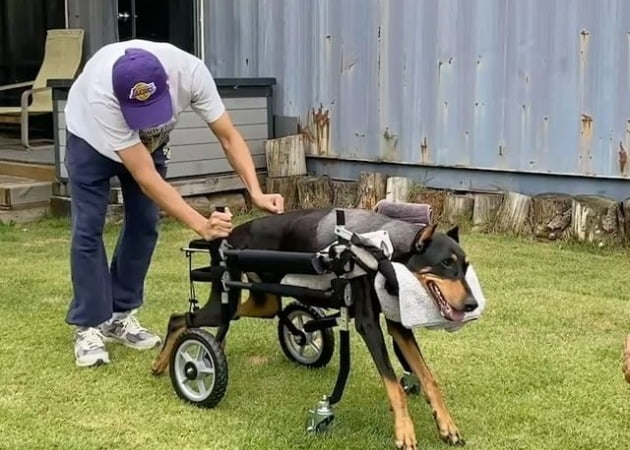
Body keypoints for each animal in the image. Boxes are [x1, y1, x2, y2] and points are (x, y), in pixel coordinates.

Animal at [152, 208, 478, 450]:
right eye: (445, 264)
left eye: (464, 265)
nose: (472, 304)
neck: (382, 251)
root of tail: (229, 234)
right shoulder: (367, 323)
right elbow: (393, 385)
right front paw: (405, 432)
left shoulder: (397, 324)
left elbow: (429, 378)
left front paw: (447, 426)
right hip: (226, 297)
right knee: (183, 319)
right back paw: (171, 362)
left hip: (262, 299)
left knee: (248, 315)